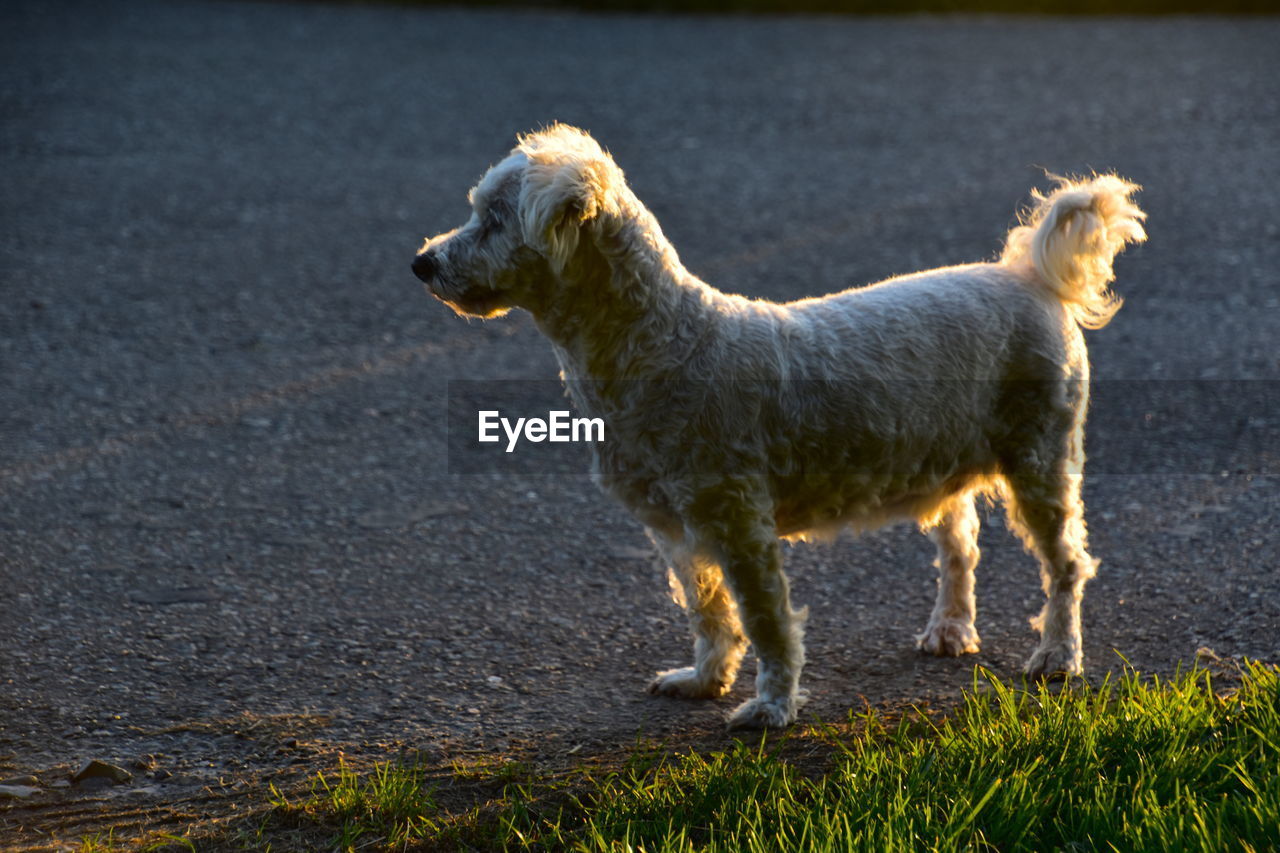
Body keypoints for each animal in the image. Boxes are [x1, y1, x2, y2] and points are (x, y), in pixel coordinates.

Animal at [412, 122, 1152, 727]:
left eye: (494, 219)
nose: (421, 263)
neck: (666, 343)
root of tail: (1031, 277)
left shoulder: (741, 521)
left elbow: (767, 621)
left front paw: (771, 707)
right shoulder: (679, 532)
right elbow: (708, 612)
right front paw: (704, 678)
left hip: (1042, 460)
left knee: (1066, 563)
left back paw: (1058, 653)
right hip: (944, 461)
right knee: (959, 548)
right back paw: (949, 628)